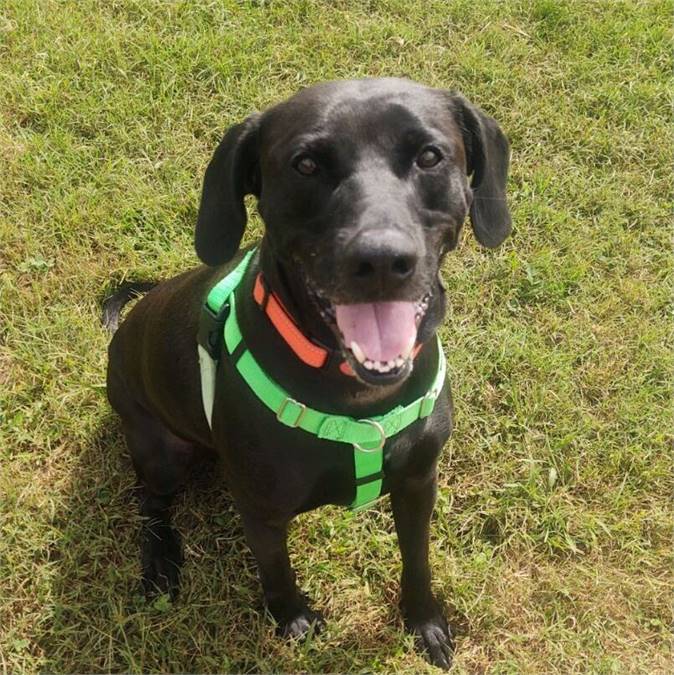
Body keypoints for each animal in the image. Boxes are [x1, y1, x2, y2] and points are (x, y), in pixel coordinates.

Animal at [105, 76, 506, 668]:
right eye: (306, 165)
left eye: (430, 156)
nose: (381, 261)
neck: (358, 397)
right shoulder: (261, 510)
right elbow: (276, 570)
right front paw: (291, 617)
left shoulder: (418, 481)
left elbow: (417, 560)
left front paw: (424, 620)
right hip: (161, 450)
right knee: (150, 500)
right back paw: (159, 562)